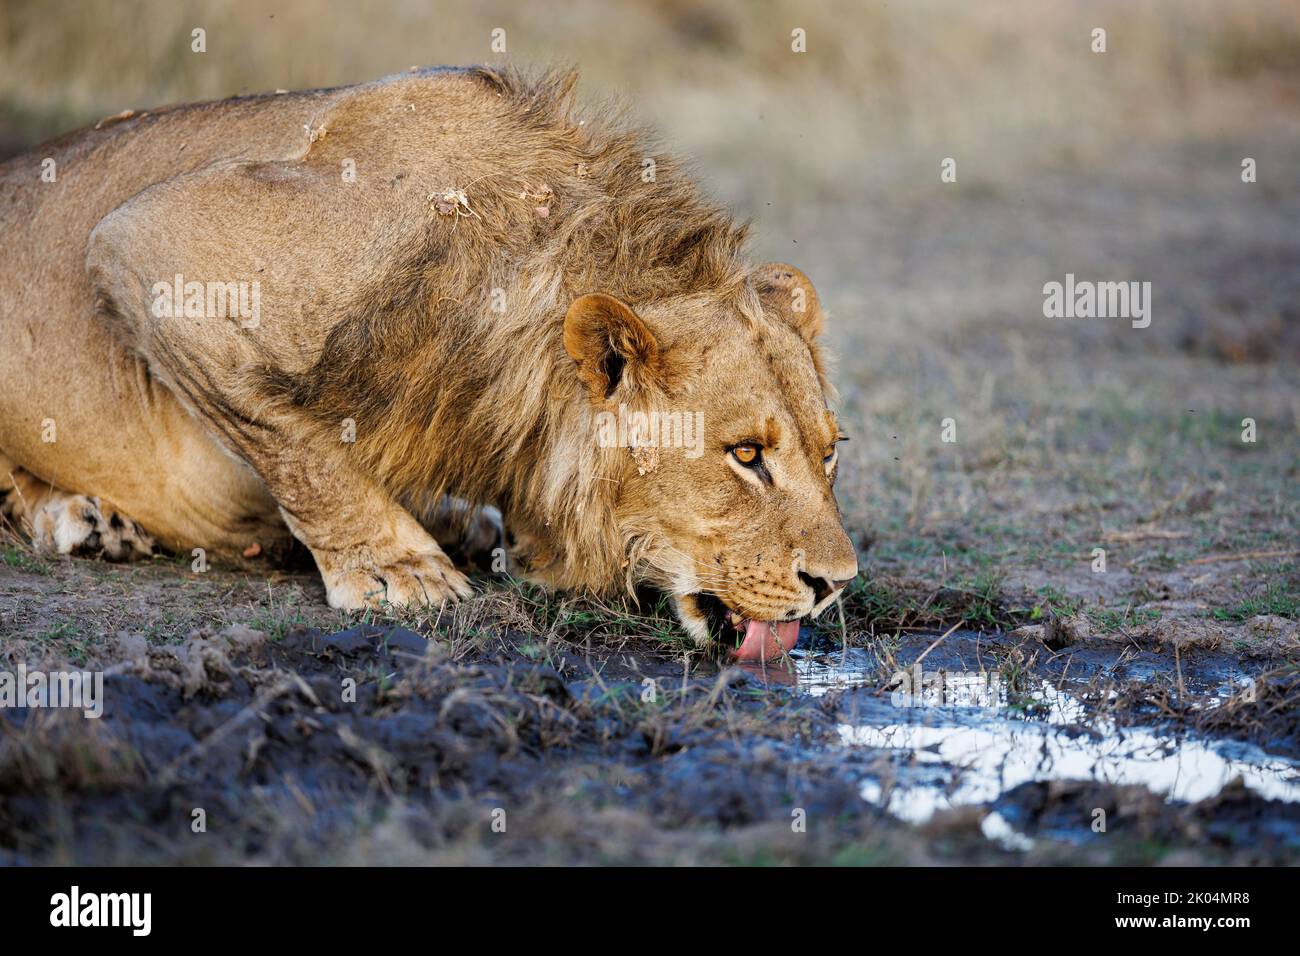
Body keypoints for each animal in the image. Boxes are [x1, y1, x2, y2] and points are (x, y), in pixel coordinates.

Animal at [0, 66, 858, 656]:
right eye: (744, 456)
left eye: (830, 455)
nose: (834, 586)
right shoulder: (152, 240)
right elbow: (297, 441)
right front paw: (400, 571)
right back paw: (83, 521)